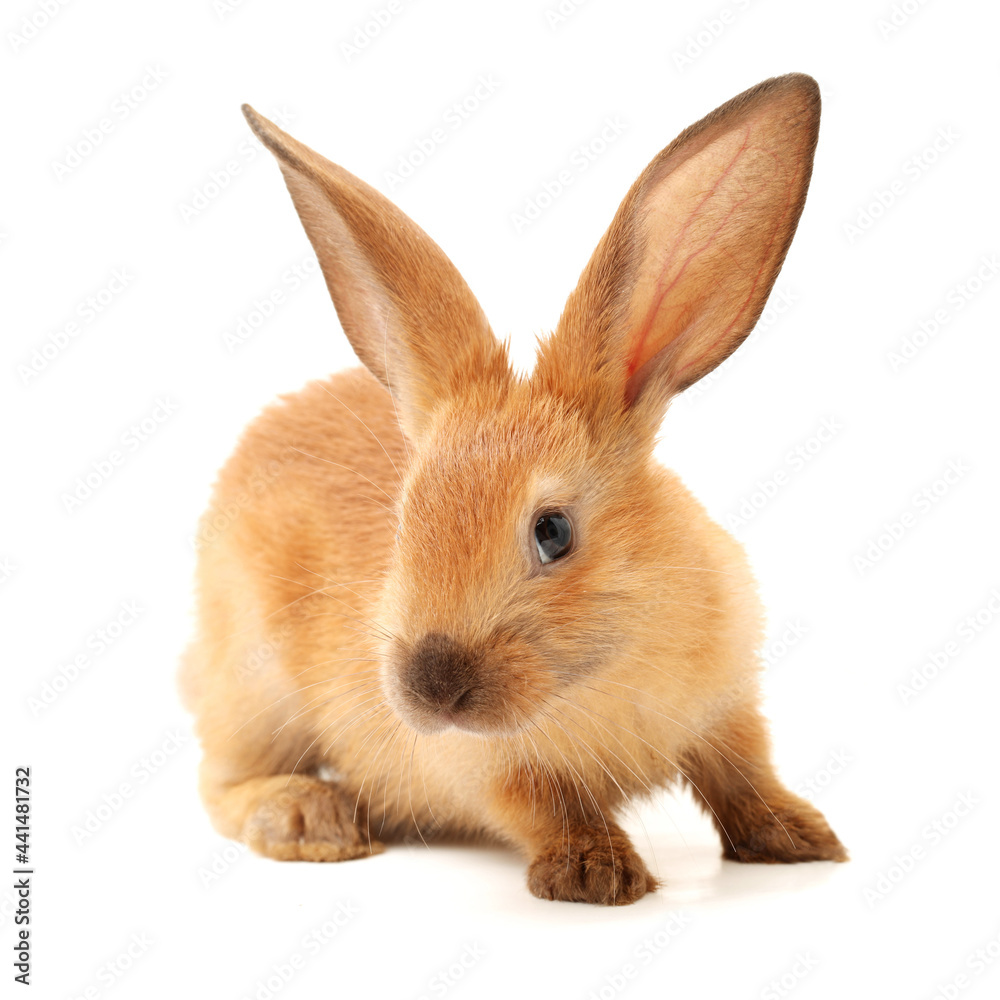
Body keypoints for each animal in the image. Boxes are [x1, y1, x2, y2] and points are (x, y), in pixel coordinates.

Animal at [180, 73, 847, 906]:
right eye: (405, 522)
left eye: (553, 531)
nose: (430, 685)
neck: (600, 667)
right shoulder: (491, 769)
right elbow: (544, 805)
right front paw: (596, 875)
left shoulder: (728, 713)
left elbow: (744, 778)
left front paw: (801, 838)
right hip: (255, 686)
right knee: (221, 781)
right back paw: (308, 817)